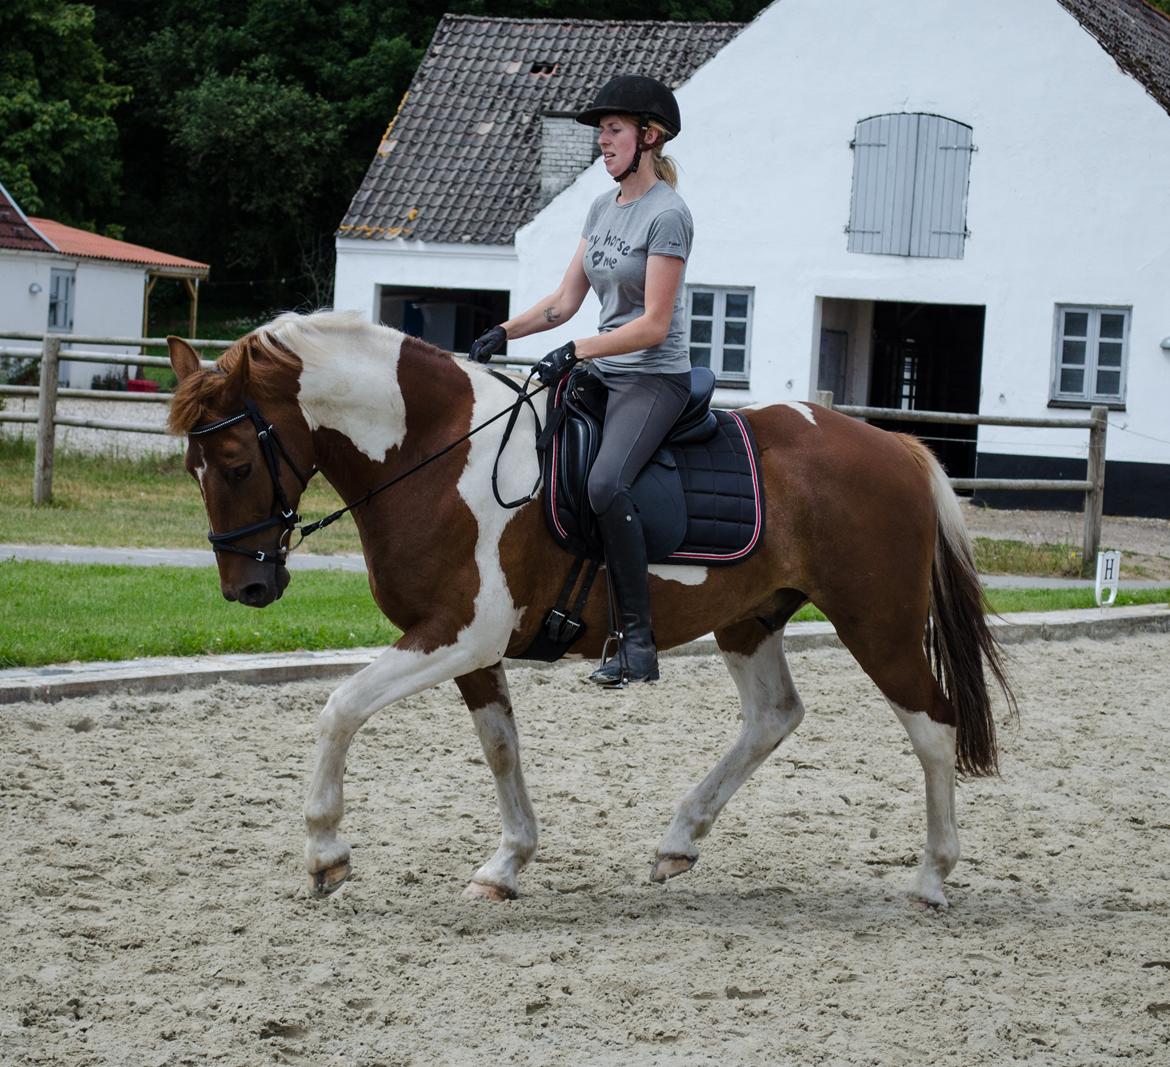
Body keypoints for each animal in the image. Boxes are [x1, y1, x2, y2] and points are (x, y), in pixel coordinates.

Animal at [167, 308, 1015, 907]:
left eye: (236, 462)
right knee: (773, 716)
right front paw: (506, 864)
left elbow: (339, 709)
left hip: (879, 624)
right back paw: (679, 839)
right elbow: (500, 746)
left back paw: (931, 877)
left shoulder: (458, 632)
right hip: (749, 619)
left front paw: (326, 854)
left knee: (933, 727)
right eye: (192, 466)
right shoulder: (470, 647)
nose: (247, 587)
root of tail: (896, 448)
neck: (438, 452)